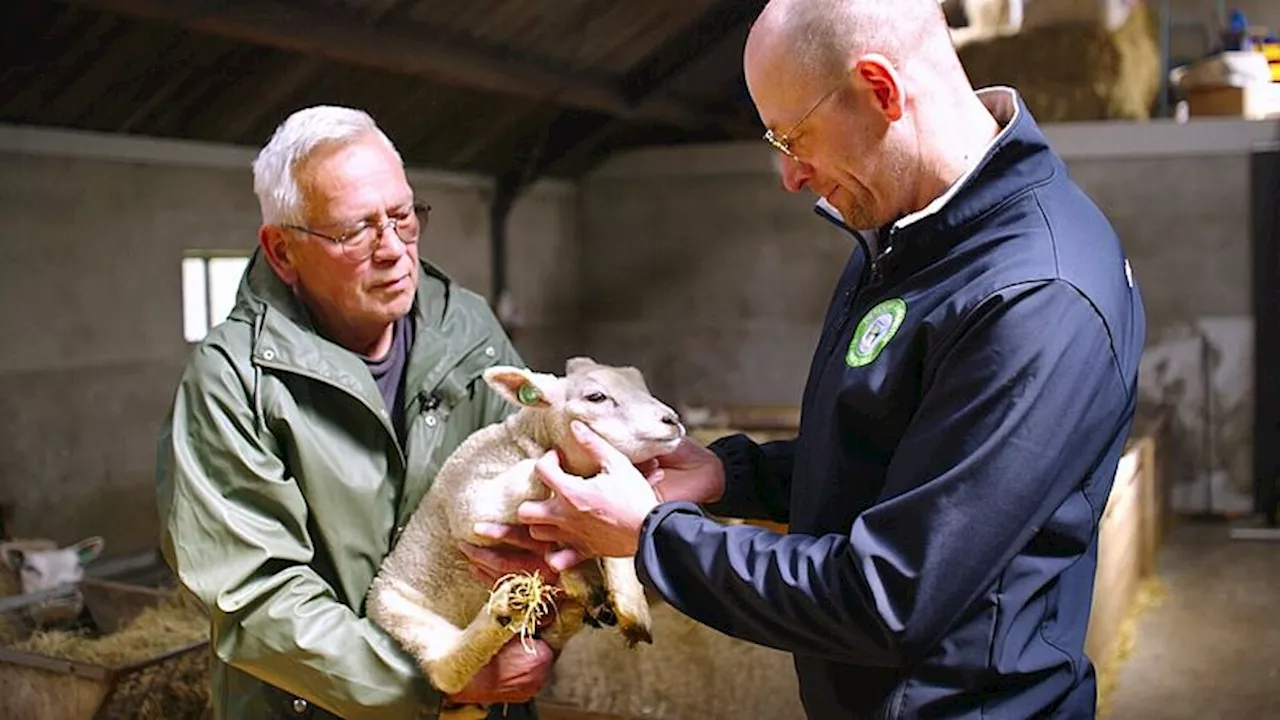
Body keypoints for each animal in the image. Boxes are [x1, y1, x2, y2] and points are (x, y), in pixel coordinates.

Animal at [366, 353, 686, 717]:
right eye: (597, 397)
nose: (672, 420)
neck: (525, 439)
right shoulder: (473, 501)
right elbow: (535, 477)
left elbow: (612, 548)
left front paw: (631, 606)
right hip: (400, 613)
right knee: (442, 667)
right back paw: (508, 607)